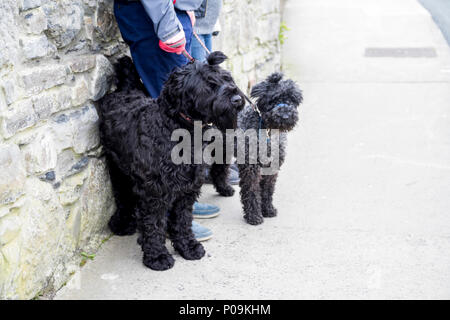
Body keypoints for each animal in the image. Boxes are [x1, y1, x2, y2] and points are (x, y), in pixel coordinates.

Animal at [98, 52, 244, 270]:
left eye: (228, 79)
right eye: (209, 85)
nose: (237, 98)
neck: (179, 128)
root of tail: (125, 91)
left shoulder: (187, 188)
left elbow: (182, 220)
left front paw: (188, 247)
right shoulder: (155, 191)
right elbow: (154, 224)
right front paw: (157, 256)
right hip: (118, 168)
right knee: (122, 196)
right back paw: (123, 223)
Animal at [213, 72, 304, 225]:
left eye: (291, 99)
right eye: (273, 99)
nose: (285, 116)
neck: (267, 131)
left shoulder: (272, 166)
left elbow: (267, 189)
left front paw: (267, 209)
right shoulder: (251, 167)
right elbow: (252, 190)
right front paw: (254, 216)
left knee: (219, 170)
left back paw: (224, 189)